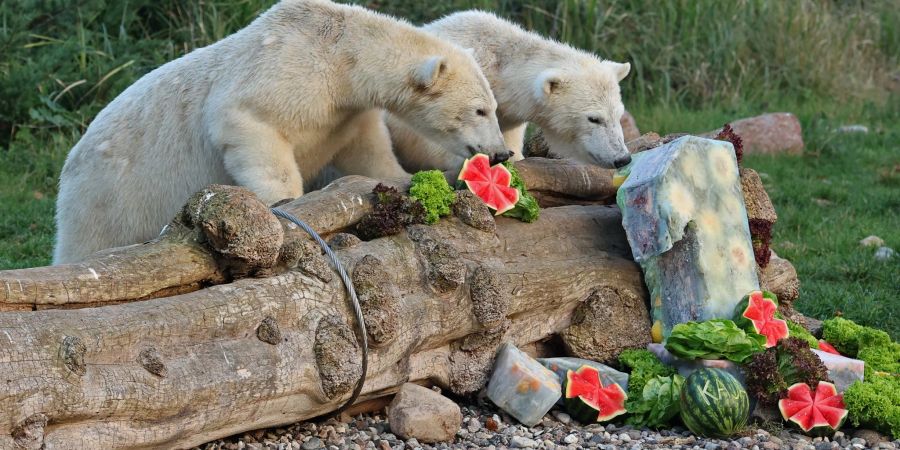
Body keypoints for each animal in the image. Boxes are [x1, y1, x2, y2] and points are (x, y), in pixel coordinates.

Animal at [52, 0, 510, 266]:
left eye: (494, 107)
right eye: (480, 109)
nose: (502, 153)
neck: (341, 53)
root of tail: (70, 163)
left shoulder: (346, 111)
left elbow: (365, 148)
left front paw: (403, 178)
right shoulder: (281, 71)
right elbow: (249, 124)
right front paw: (287, 205)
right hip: (109, 198)